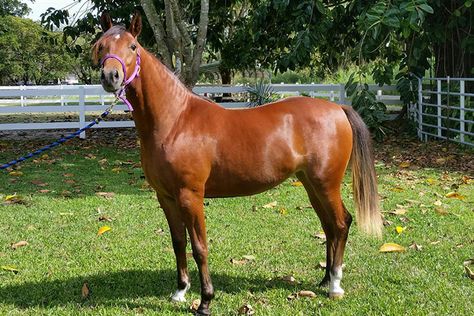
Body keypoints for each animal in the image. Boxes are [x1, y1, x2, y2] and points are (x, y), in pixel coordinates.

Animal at [94, 11, 384, 314]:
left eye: (132, 47)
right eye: (101, 46)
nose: (111, 76)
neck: (175, 121)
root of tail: (338, 108)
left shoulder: (190, 196)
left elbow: (199, 247)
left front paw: (205, 301)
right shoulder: (167, 197)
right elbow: (178, 242)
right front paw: (180, 291)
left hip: (326, 183)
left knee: (341, 223)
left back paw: (336, 285)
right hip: (311, 184)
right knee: (328, 226)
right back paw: (325, 279)